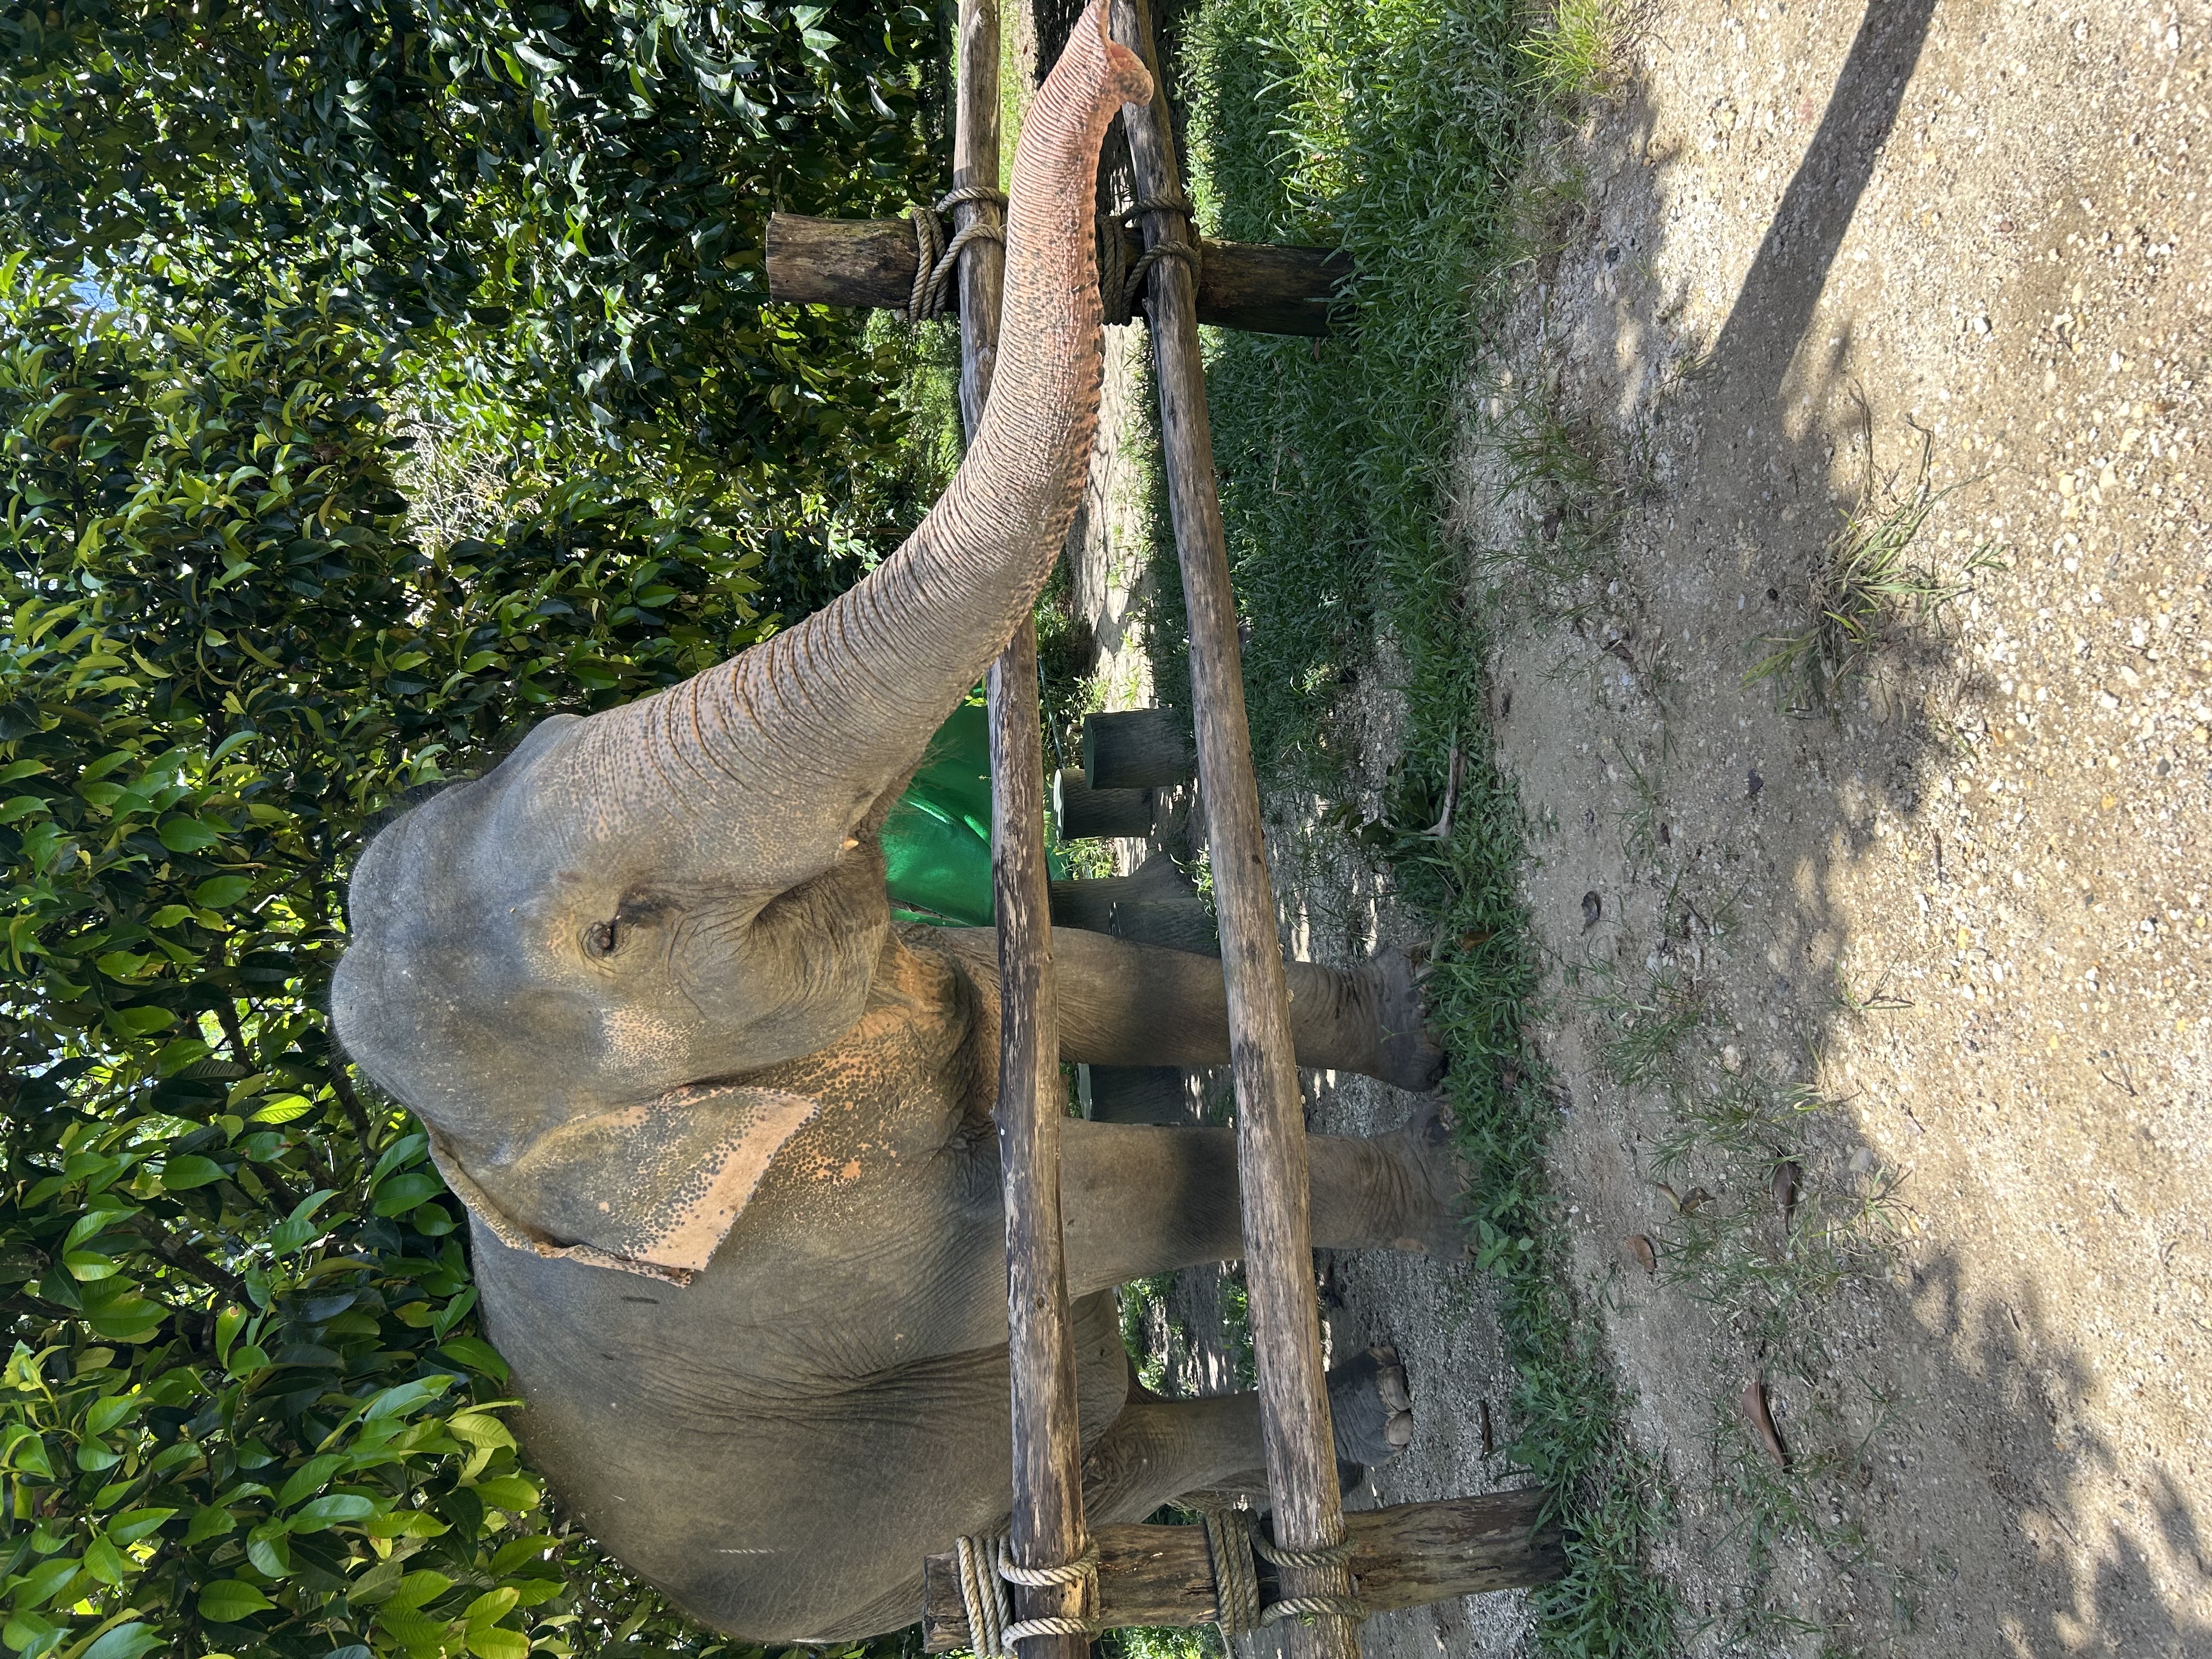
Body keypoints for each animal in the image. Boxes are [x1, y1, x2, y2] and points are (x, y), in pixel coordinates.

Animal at [331, 3, 1465, 1642]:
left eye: (545, 735)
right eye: (611, 932)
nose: (1118, 51)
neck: (476, 1165)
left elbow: (1103, 989)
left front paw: (1430, 1017)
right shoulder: (816, 1255)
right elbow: (1089, 1203)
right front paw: (1471, 1179)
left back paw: (1363, 1402)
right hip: (899, 1530)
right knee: (1107, 1442)